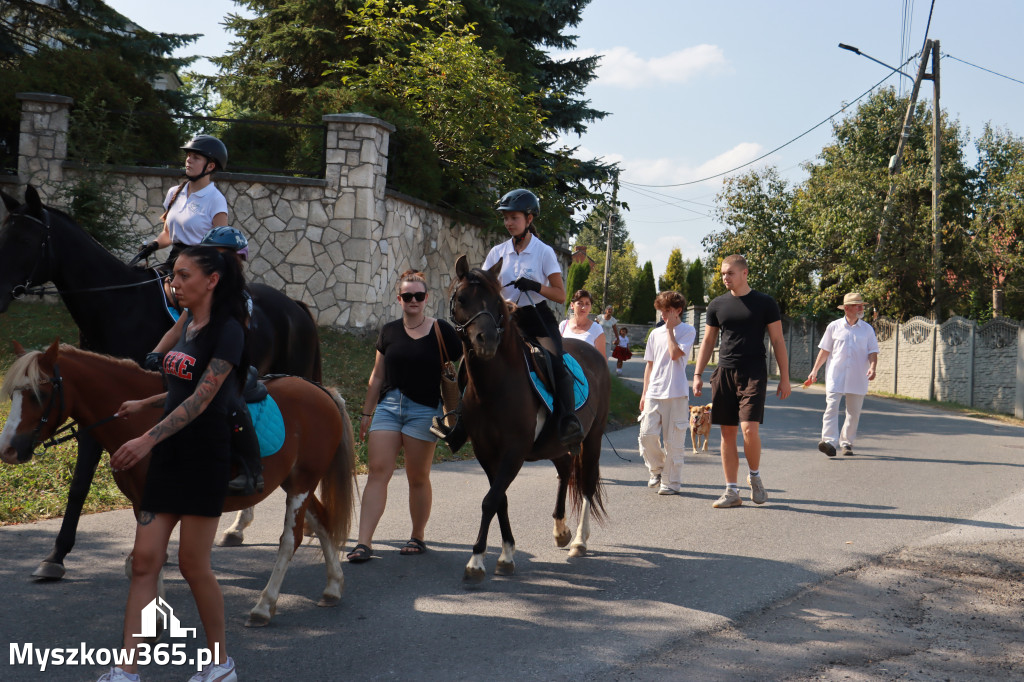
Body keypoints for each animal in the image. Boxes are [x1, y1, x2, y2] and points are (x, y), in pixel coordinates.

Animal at [0, 186, 323, 577]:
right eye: (3, 234)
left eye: (25, 240)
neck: (118, 305)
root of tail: (294, 305)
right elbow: (79, 486)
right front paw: (56, 555)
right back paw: (240, 526)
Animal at [0, 339, 358, 626]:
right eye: (14, 394)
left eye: (41, 392)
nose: (8, 449)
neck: (148, 426)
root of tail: (322, 392)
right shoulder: (142, 502)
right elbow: (142, 561)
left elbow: (150, 560)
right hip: (294, 481)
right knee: (321, 521)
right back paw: (333, 586)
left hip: (302, 482)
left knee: (290, 540)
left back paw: (264, 605)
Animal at [450, 254, 606, 577]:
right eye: (461, 299)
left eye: (496, 301)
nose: (486, 340)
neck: (495, 387)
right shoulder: (486, 452)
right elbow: (499, 500)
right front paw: (506, 553)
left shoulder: (514, 451)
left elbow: (490, 500)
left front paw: (477, 559)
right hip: (556, 444)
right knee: (565, 471)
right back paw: (561, 530)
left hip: (593, 437)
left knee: (585, 484)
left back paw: (579, 541)